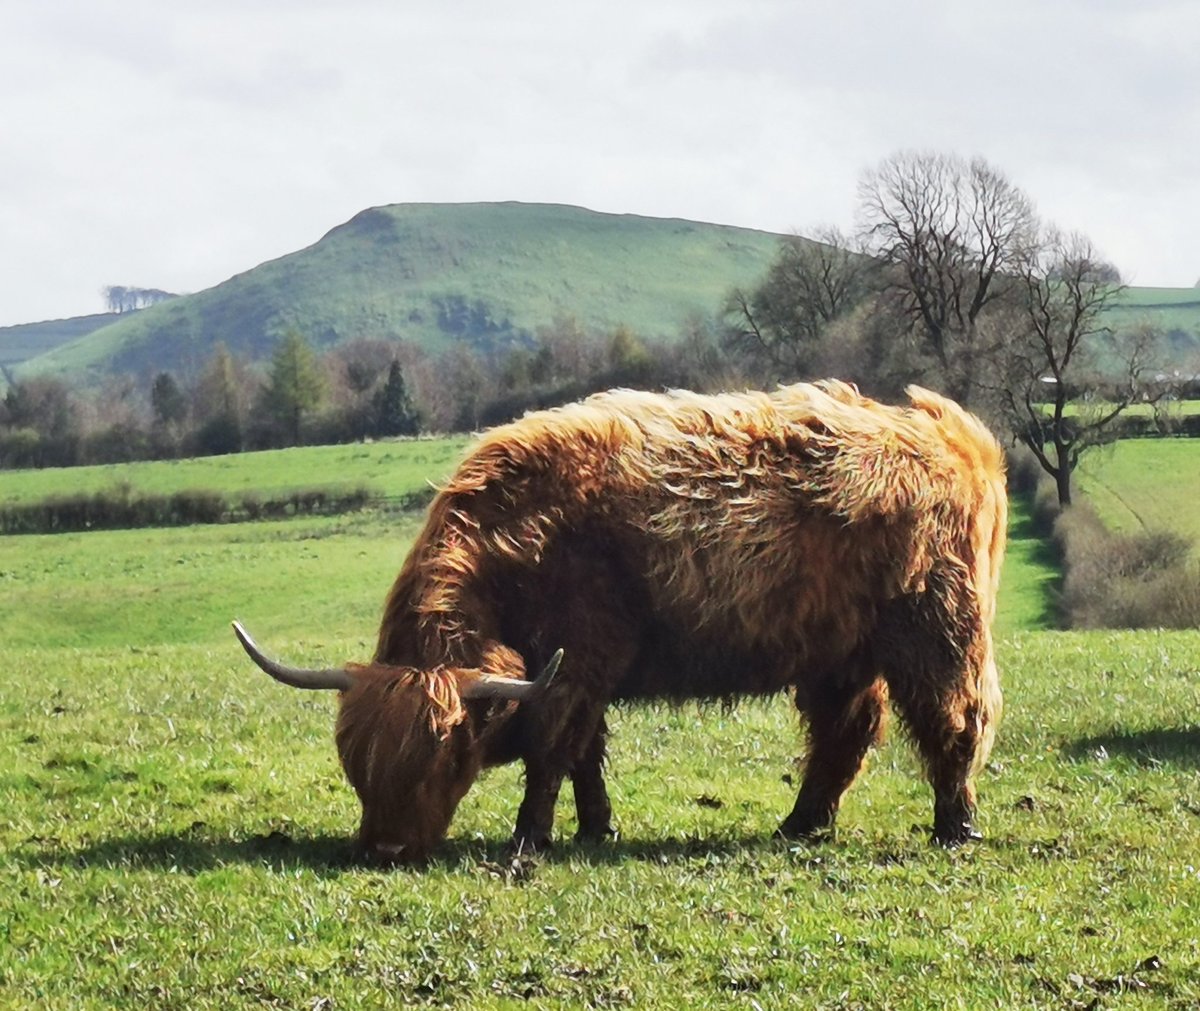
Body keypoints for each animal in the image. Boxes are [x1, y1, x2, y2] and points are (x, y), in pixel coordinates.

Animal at [231, 379, 1003, 859]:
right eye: (354, 760)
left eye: (447, 754)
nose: (387, 848)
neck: (519, 538)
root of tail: (951, 432)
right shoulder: (583, 670)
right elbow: (585, 755)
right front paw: (595, 826)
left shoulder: (578, 658)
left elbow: (551, 752)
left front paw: (530, 837)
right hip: (837, 652)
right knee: (844, 734)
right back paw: (800, 824)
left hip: (939, 631)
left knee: (956, 720)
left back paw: (954, 825)